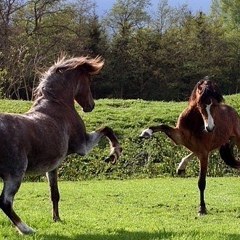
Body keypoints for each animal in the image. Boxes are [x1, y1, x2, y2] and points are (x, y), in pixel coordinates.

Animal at [0, 56, 122, 234]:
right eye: (89, 80)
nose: (90, 106)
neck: (57, 104)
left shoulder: (52, 166)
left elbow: (54, 193)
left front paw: (56, 219)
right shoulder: (83, 146)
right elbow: (106, 129)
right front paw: (115, 152)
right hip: (15, 175)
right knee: (5, 202)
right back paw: (26, 229)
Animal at [140, 78, 240, 216]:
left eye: (215, 105)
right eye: (201, 104)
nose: (210, 128)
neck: (194, 122)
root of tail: (234, 112)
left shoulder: (203, 152)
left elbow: (201, 182)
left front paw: (202, 209)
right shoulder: (179, 137)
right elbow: (163, 126)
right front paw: (146, 132)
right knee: (194, 152)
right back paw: (181, 167)